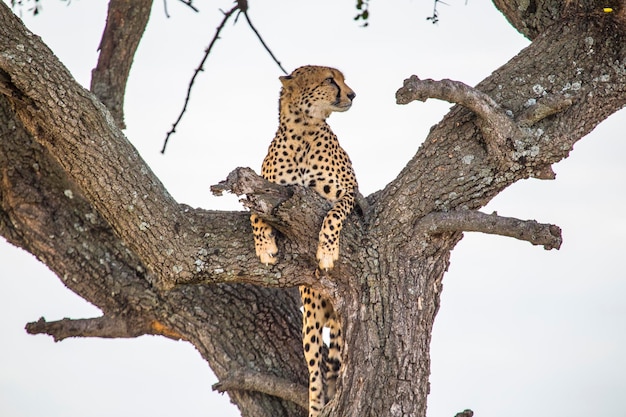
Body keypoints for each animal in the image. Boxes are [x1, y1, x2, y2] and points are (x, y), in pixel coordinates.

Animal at [249, 65, 356, 416]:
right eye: (329, 79)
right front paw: (265, 249)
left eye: (342, 78)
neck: (303, 132)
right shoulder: (266, 192)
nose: (352, 94)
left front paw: (326, 252)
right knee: (315, 368)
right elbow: (256, 215)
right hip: (309, 317)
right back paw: (315, 405)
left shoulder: (348, 194)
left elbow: (333, 216)